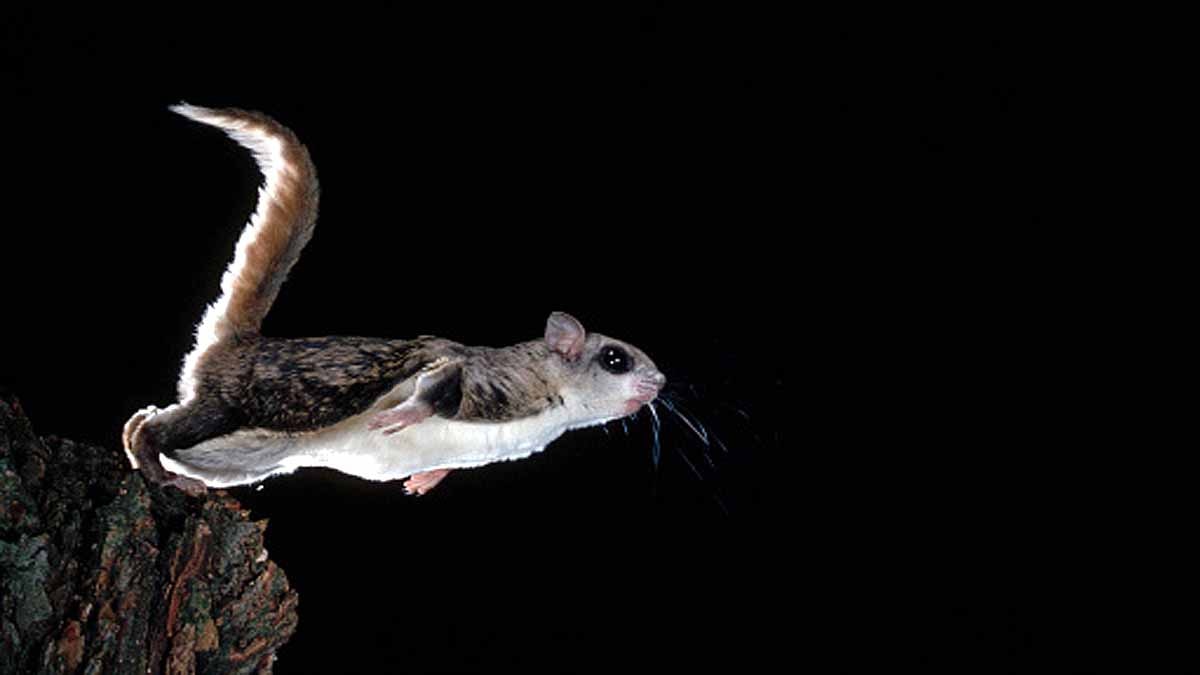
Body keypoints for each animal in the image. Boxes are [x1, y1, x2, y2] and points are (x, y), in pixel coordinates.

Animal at [122, 105, 666, 496]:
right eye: (615, 358)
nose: (660, 383)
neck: (554, 409)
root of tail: (239, 342)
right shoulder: (493, 381)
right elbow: (438, 380)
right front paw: (400, 417)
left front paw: (426, 478)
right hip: (231, 406)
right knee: (148, 430)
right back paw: (160, 473)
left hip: (246, 451)